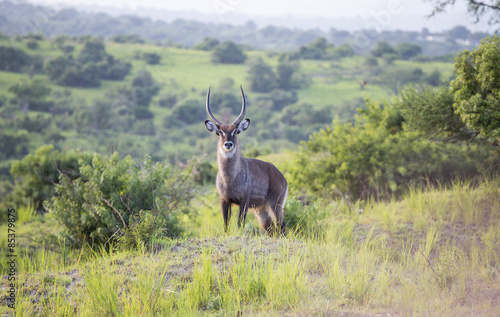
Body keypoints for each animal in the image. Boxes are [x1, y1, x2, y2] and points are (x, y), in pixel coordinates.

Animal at [204, 86, 290, 235]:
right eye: (220, 132)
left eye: (235, 131)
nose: (228, 144)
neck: (230, 179)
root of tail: (281, 175)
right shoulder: (224, 200)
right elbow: (226, 225)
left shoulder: (244, 201)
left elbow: (240, 224)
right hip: (261, 211)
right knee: (271, 230)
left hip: (276, 205)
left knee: (282, 227)